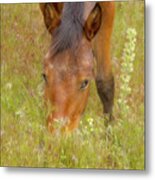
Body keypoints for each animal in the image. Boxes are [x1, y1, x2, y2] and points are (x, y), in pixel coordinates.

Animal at [39, 2, 115, 133]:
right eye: (44, 76)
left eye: (85, 82)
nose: (57, 133)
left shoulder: (109, 7)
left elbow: (105, 83)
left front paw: (109, 135)